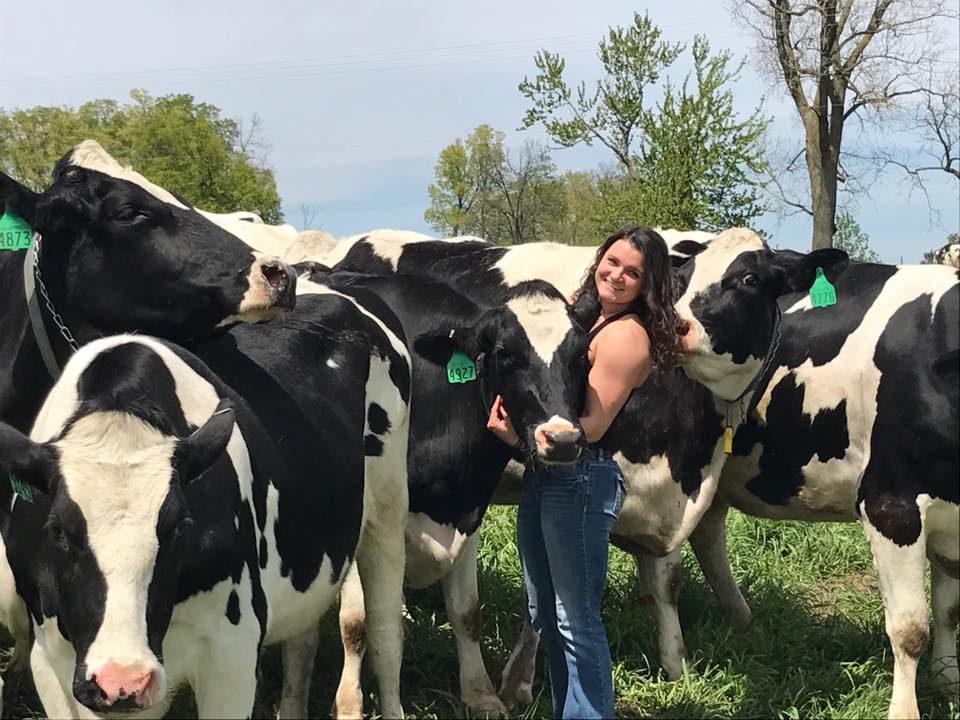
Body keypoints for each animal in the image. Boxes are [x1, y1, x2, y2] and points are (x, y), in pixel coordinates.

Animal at [0, 334, 408, 720]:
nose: (123, 680)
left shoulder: (233, 651)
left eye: (181, 525)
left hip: (388, 515)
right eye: (57, 529)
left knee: (384, 638)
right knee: (302, 644)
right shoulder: (50, 659)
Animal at [296, 268, 588, 716]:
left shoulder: (467, 511)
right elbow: (356, 622)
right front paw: (348, 704)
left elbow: (467, 614)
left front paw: (482, 694)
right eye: (505, 352)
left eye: (581, 355)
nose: (562, 439)